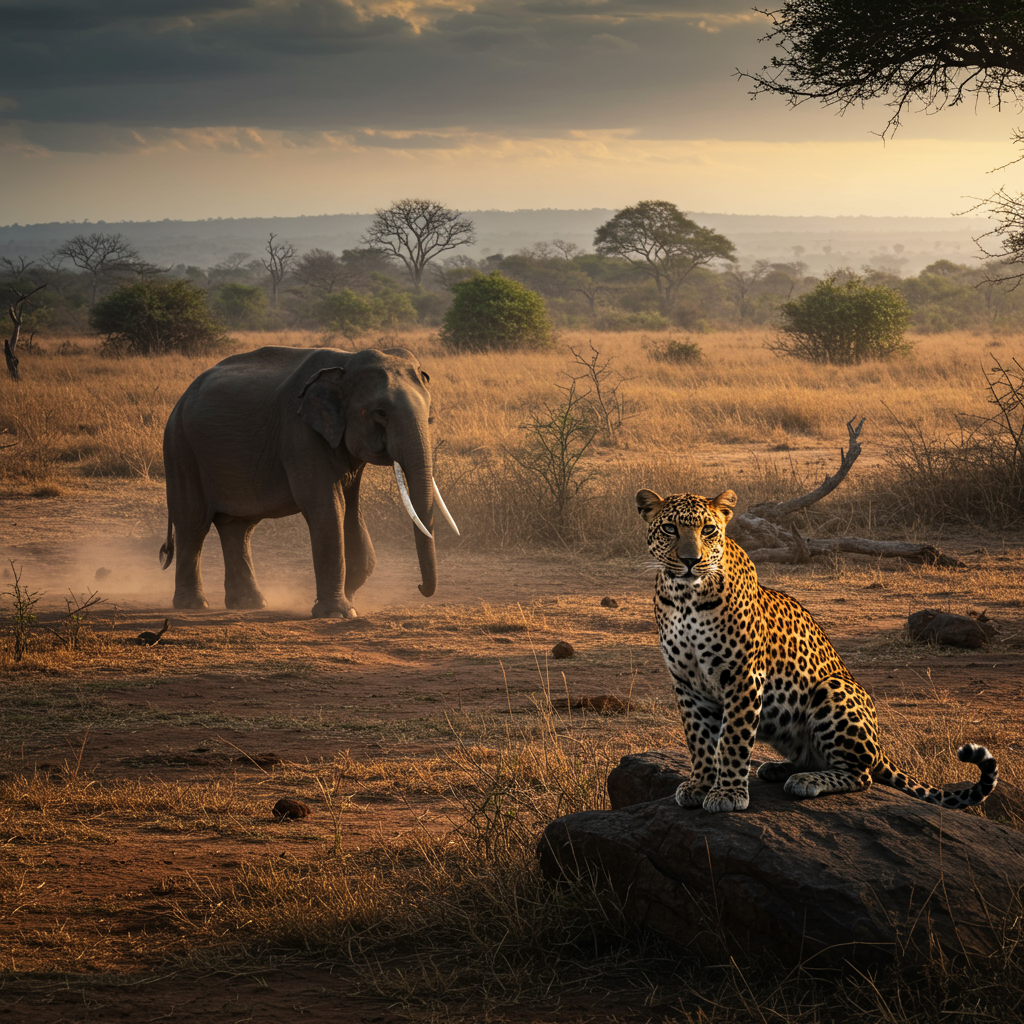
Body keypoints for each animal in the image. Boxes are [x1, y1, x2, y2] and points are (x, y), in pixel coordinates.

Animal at [159, 345, 458, 618]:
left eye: (430, 416)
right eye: (381, 413)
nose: (419, 587)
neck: (345, 363)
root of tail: (180, 401)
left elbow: (350, 510)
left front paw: (347, 600)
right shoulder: (299, 433)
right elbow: (327, 506)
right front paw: (337, 612)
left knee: (238, 527)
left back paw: (249, 604)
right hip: (180, 447)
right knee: (193, 522)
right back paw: (194, 605)